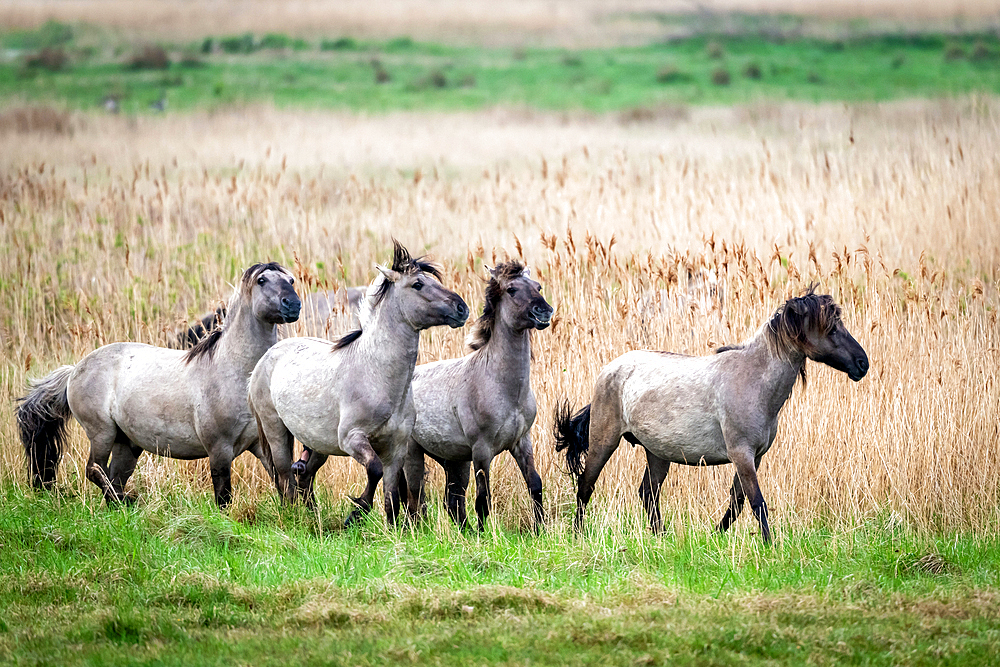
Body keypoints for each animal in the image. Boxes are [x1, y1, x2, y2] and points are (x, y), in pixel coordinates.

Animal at [17, 260, 298, 506]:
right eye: (262, 280)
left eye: (291, 280)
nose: (294, 304)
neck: (234, 372)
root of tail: (74, 370)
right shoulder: (219, 449)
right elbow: (223, 495)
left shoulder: (259, 445)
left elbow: (282, 480)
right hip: (101, 432)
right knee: (94, 469)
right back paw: (128, 501)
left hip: (126, 444)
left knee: (113, 477)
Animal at [248, 241, 470, 528]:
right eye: (418, 284)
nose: (462, 308)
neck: (376, 376)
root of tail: (265, 360)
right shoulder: (352, 439)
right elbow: (374, 470)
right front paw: (357, 512)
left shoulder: (396, 448)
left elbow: (391, 494)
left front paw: (391, 529)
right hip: (275, 429)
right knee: (285, 475)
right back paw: (292, 516)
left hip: (318, 443)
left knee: (304, 476)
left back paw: (313, 516)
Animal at [400, 260, 556, 532]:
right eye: (512, 290)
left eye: (537, 286)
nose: (544, 312)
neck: (502, 386)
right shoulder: (482, 451)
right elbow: (483, 498)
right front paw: (486, 535)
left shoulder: (522, 442)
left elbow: (535, 485)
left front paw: (540, 530)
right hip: (414, 454)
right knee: (415, 499)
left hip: (455, 460)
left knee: (452, 502)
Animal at [556, 288, 868, 544]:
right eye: (830, 328)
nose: (862, 363)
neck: (753, 380)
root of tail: (610, 369)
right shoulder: (742, 454)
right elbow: (756, 502)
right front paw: (770, 546)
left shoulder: (755, 456)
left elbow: (737, 502)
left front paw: (716, 536)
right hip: (604, 441)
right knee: (586, 486)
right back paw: (578, 534)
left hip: (657, 453)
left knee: (648, 493)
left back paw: (662, 538)